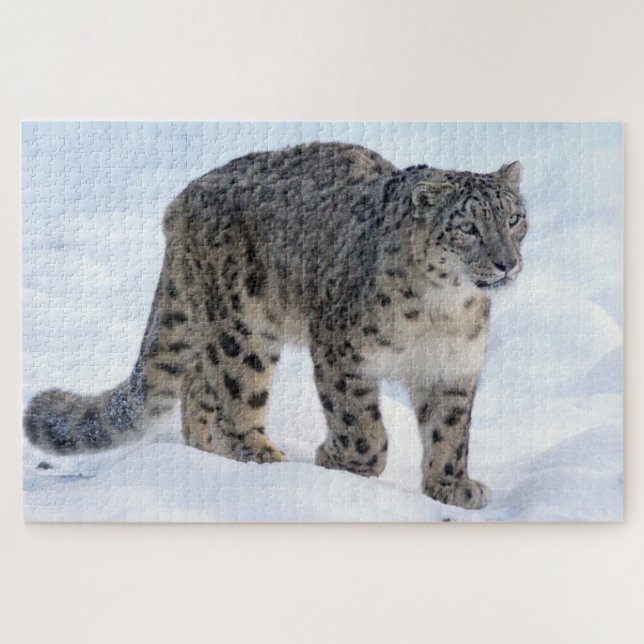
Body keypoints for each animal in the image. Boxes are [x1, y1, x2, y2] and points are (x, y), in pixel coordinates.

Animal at [24, 142, 527, 510]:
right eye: (467, 227)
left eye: (514, 218)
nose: (508, 263)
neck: (443, 309)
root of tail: (182, 200)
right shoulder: (343, 355)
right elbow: (362, 427)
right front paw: (339, 461)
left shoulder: (453, 369)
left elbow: (450, 432)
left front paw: (451, 486)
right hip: (244, 329)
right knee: (234, 396)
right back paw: (262, 458)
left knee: (197, 384)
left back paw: (206, 453)